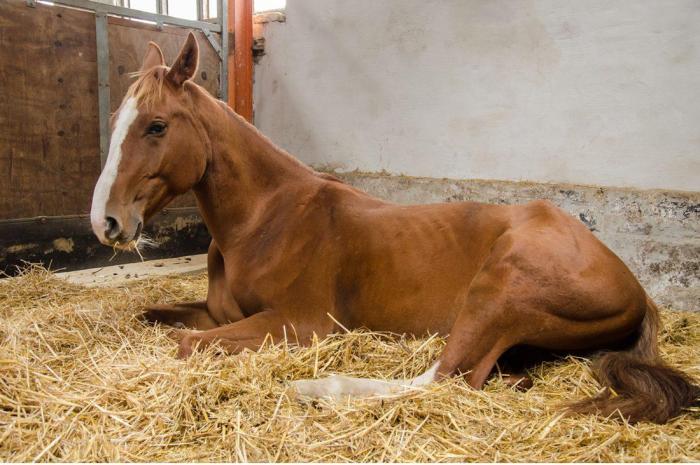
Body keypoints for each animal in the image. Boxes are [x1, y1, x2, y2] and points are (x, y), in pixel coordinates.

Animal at [90, 32, 696, 424]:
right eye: (119, 120)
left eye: (157, 125)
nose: (106, 221)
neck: (266, 220)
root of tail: (637, 288)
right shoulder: (222, 314)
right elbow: (156, 317)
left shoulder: (299, 323)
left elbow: (187, 344)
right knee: (488, 374)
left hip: (502, 290)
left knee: (446, 376)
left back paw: (314, 388)